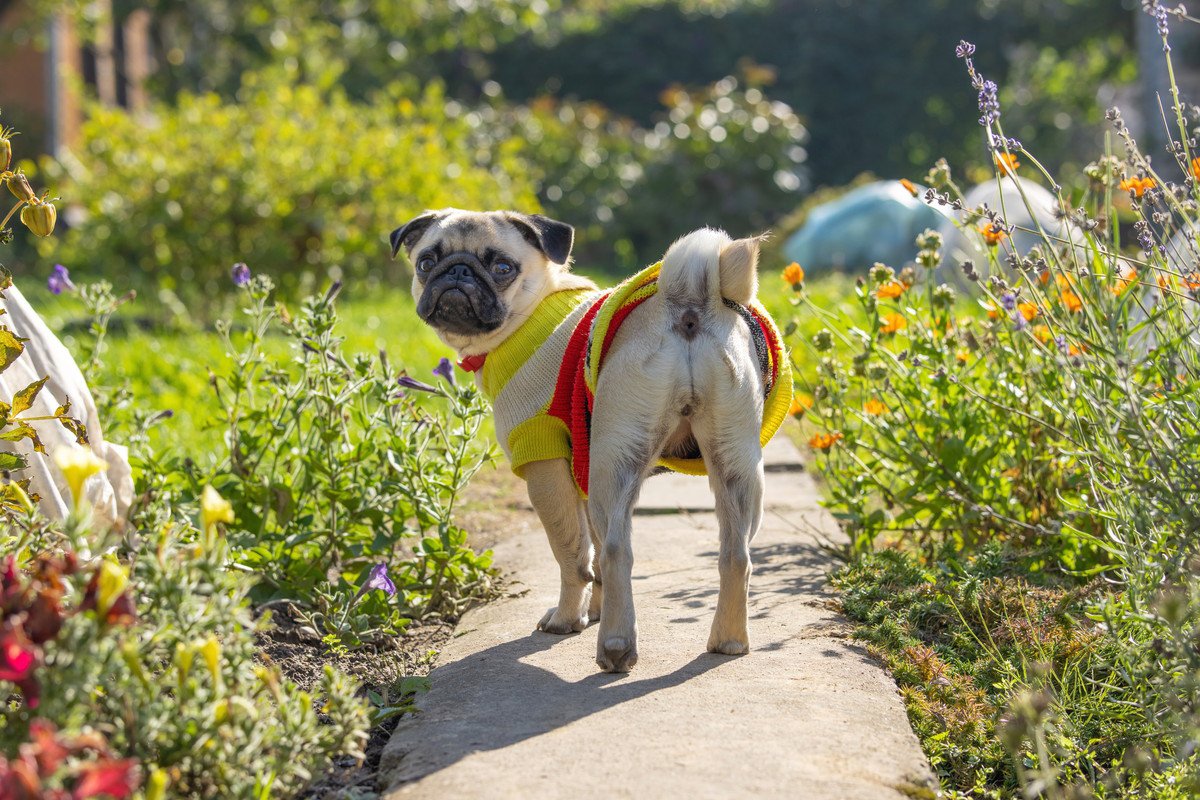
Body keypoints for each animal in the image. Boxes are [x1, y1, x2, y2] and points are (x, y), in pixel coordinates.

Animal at [388, 209, 792, 671]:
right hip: (734, 463)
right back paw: (729, 641)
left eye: (502, 267)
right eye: (426, 262)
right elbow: (593, 555)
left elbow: (575, 557)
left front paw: (569, 619)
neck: (534, 310)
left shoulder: (546, 467)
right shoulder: (582, 469)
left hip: (616, 461)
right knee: (735, 554)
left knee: (618, 550)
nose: (456, 272)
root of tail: (686, 301)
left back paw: (615, 646)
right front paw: (593, 609)